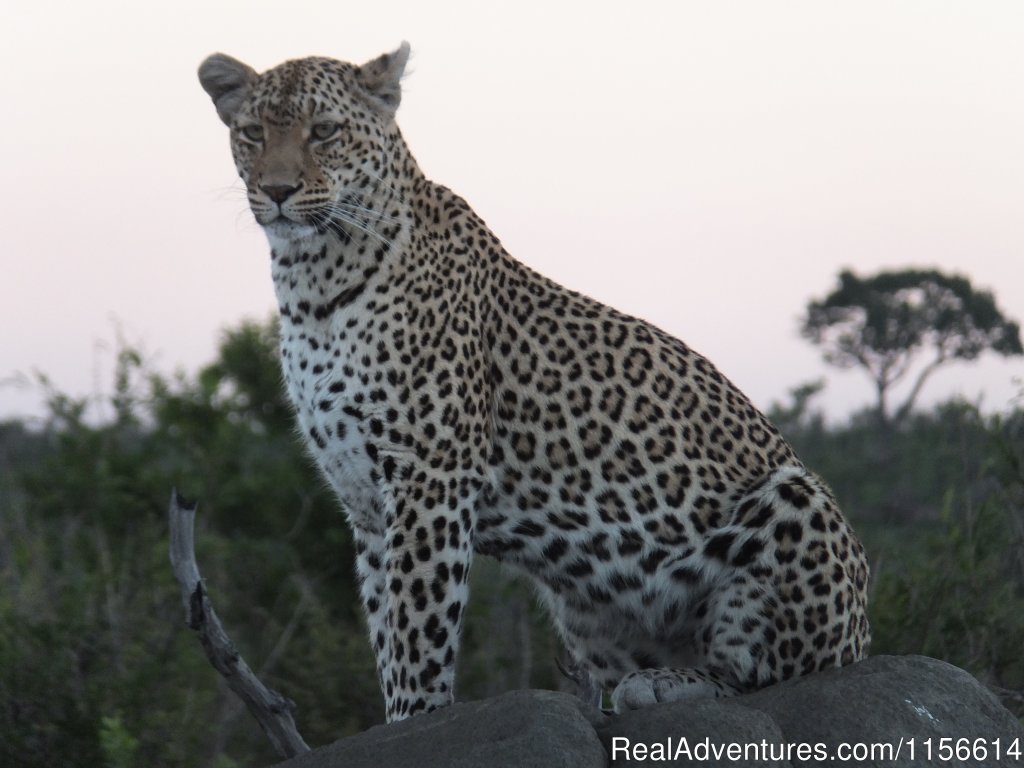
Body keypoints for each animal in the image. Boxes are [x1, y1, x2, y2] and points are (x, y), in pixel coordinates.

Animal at [195, 41, 868, 724]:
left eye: (325, 132)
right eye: (253, 134)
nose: (277, 191)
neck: (310, 282)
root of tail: (863, 633)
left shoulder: (430, 476)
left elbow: (418, 629)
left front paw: (418, 718)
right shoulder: (366, 503)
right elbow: (386, 628)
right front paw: (396, 718)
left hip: (796, 501)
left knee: (773, 676)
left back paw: (668, 684)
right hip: (583, 605)